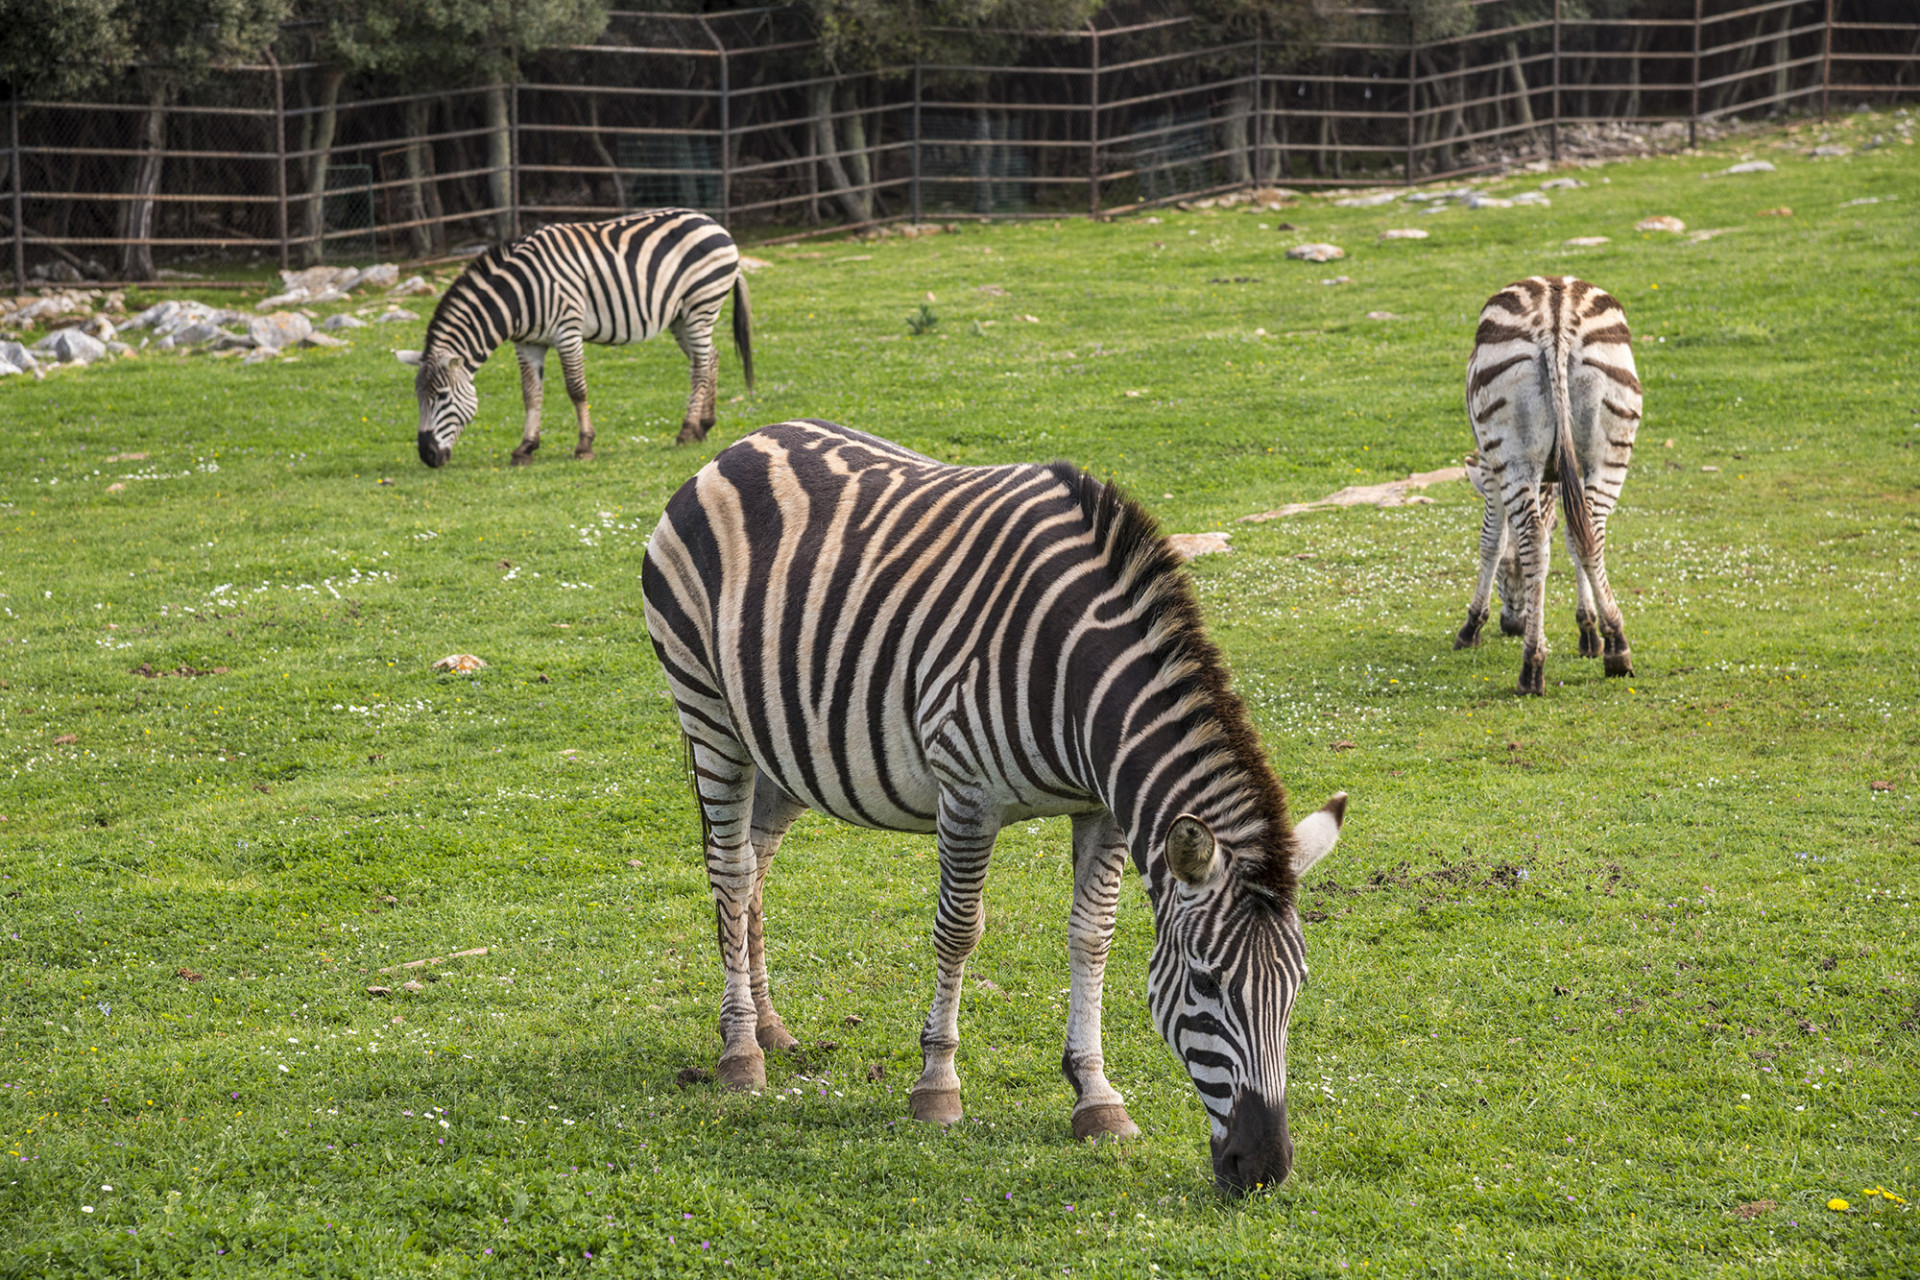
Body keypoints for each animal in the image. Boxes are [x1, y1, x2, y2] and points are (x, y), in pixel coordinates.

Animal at [395, 208, 748, 468]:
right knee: (711, 357)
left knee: (700, 365)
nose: (427, 456)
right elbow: (530, 394)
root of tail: (715, 223)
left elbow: (576, 389)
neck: (519, 293)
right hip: (680, 316)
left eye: (442, 397)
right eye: (417, 398)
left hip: (701, 304)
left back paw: (687, 431)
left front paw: (584, 446)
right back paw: (705, 425)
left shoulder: (567, 330)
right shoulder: (528, 343)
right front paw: (525, 448)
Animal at [645, 420, 1351, 1189]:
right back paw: (741, 1051)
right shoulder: (967, 794)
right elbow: (958, 932)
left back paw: (769, 1026)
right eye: (1205, 983)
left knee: (755, 864)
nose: (1264, 1167)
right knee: (731, 870)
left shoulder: (1102, 809)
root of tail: (745, 443)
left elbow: (1092, 937)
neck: (1077, 680)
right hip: (707, 711)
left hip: (783, 745)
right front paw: (936, 1086)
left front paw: (1096, 1096)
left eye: (1297, 986)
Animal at [1443, 276, 1643, 694]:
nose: (1512, 626)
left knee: (1533, 537)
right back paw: (1617, 645)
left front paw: (1472, 626)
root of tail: (1556, 317)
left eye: (1509, 568)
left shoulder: (1488, 467)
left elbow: (1492, 540)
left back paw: (1532, 666)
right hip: (1610, 441)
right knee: (1591, 533)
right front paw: (1590, 632)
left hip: (1510, 451)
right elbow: (1569, 535)